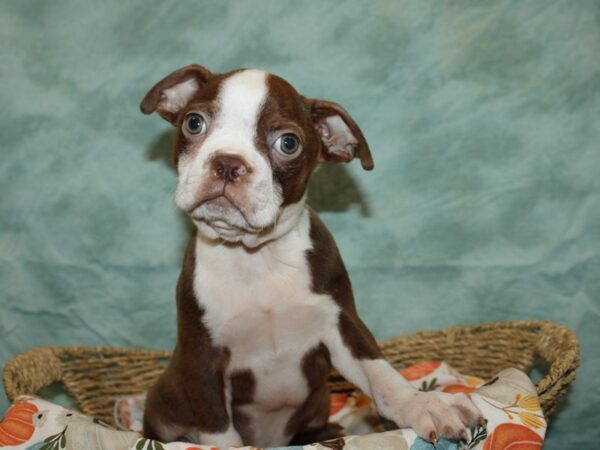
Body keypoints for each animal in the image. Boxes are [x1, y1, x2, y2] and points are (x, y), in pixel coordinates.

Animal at [141, 65, 482, 448]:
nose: (228, 162)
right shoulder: (201, 355)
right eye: (194, 123)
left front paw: (423, 405)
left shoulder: (342, 325)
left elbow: (381, 373)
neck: (256, 256)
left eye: (288, 143)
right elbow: (219, 428)